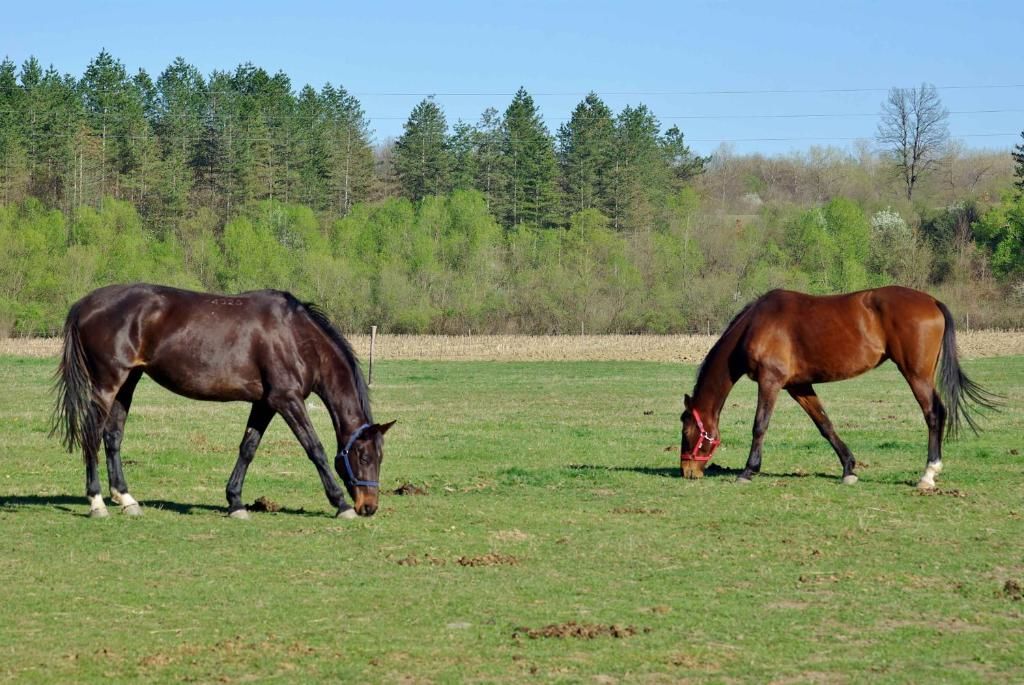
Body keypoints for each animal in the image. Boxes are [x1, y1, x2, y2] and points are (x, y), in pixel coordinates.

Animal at [50, 282, 395, 518]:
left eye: (381, 457)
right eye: (364, 456)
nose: (369, 506)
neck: (297, 337)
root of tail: (84, 304)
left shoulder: (265, 403)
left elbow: (248, 448)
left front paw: (235, 502)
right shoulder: (288, 400)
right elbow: (315, 449)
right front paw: (340, 503)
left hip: (127, 382)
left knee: (113, 436)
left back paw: (126, 499)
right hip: (106, 383)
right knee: (93, 434)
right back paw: (96, 502)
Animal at [675, 286, 995, 489]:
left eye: (686, 431)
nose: (688, 472)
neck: (755, 325)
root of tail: (932, 301)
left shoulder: (770, 382)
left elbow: (760, 426)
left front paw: (748, 470)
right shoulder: (799, 386)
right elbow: (825, 425)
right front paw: (849, 468)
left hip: (916, 374)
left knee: (933, 414)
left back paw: (928, 474)